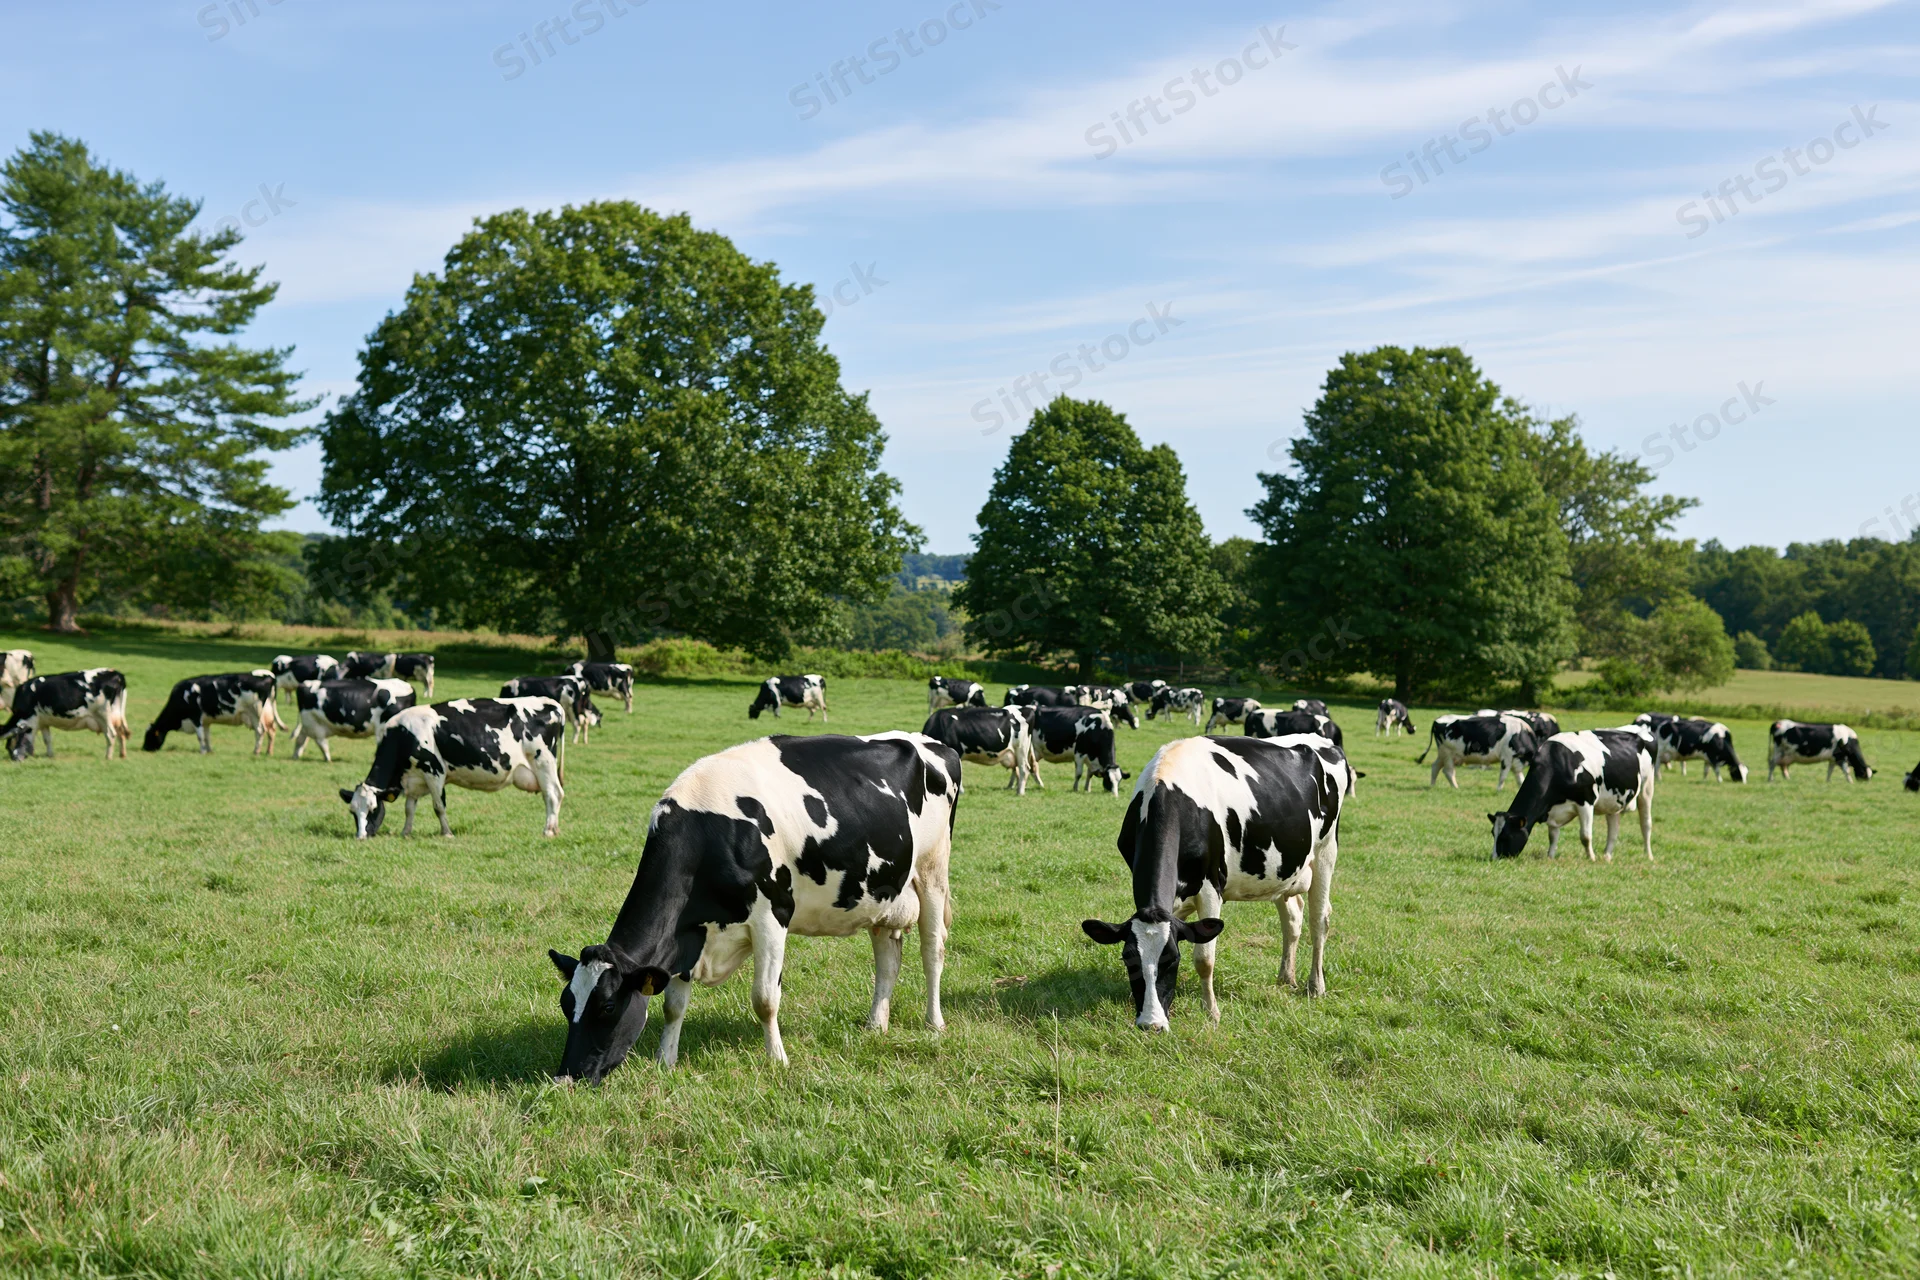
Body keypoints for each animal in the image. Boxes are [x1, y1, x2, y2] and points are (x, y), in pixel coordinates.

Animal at [142, 672, 283, 755]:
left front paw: (202, 751)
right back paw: (267, 752)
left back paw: (256, 751)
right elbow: (207, 736)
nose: (144, 748)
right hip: (264, 714)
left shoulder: (196, 717)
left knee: (260, 731)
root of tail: (267, 678)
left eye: (149, 736)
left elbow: (200, 736)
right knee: (270, 730)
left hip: (255, 713)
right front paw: (209, 751)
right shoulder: (206, 721)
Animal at [340, 697, 566, 839]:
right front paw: (406, 832)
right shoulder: (413, 778)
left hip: (543, 762)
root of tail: (551, 703)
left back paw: (548, 830)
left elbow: (439, 807)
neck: (404, 734)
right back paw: (555, 829)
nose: (361, 836)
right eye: (352, 811)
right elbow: (409, 808)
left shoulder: (434, 771)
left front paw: (446, 833)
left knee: (553, 794)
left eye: (373, 809)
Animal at [547, 732, 962, 1077]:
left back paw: (934, 1022)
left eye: (607, 1007)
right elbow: (673, 1004)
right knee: (887, 958)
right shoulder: (689, 932)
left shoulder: (771, 917)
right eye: (567, 1004)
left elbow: (765, 999)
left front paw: (777, 1060)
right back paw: (876, 1024)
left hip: (933, 870)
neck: (709, 831)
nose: (567, 1077)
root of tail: (932, 743)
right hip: (882, 892)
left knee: (932, 950)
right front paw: (666, 1060)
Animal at [1081, 733, 1354, 1029]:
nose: (1151, 1024)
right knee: (1293, 917)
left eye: (1173, 960)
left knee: (1319, 920)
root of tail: (1321, 739)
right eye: (1128, 958)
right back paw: (1286, 977)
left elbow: (1204, 958)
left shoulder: (1211, 886)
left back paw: (1315, 986)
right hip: (1283, 870)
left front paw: (1211, 1012)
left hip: (1326, 851)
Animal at [1490, 727, 1657, 861]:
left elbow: (1585, 836)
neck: (1557, 761)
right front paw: (1550, 857)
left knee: (1646, 824)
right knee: (1613, 828)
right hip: (1614, 799)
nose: (1494, 859)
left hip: (1647, 788)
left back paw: (1648, 855)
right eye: (1493, 833)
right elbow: (1553, 836)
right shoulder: (1552, 810)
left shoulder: (1586, 801)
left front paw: (1591, 858)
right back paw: (1607, 856)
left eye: (1506, 836)